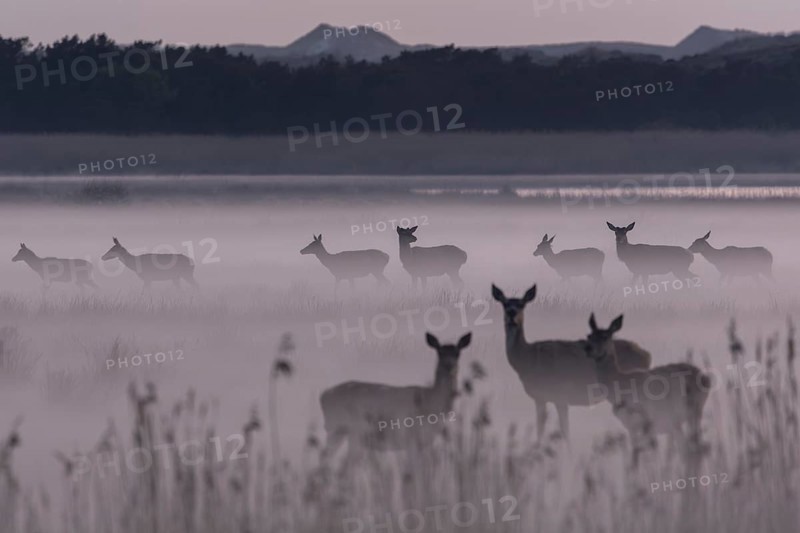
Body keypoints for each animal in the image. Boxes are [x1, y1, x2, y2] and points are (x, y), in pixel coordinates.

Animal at [320, 332, 471, 457]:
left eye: (457, 353)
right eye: (439, 352)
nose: (449, 366)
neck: (431, 402)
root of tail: (323, 396)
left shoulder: (425, 442)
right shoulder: (411, 438)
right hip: (343, 429)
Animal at [491, 284, 651, 441]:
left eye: (522, 304)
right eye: (504, 303)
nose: (512, 313)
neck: (528, 359)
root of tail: (647, 355)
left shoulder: (560, 395)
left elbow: (564, 432)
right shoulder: (540, 397)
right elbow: (540, 430)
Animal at [584, 314, 710, 468]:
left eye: (605, 336)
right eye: (589, 335)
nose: (588, 348)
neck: (621, 385)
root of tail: (706, 378)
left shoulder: (648, 419)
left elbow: (648, 450)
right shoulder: (630, 426)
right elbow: (635, 454)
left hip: (695, 413)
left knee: (695, 445)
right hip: (678, 422)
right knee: (686, 448)